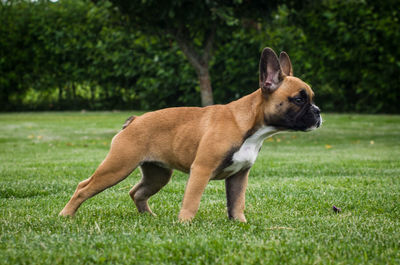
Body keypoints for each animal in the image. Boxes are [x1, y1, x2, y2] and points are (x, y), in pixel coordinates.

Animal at [59, 47, 322, 221]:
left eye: (311, 98)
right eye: (299, 100)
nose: (318, 112)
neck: (251, 126)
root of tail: (134, 121)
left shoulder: (240, 175)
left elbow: (237, 202)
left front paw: (240, 223)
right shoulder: (202, 169)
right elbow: (192, 201)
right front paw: (184, 224)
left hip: (158, 174)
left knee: (137, 192)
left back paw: (149, 216)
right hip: (118, 166)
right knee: (84, 187)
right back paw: (66, 215)